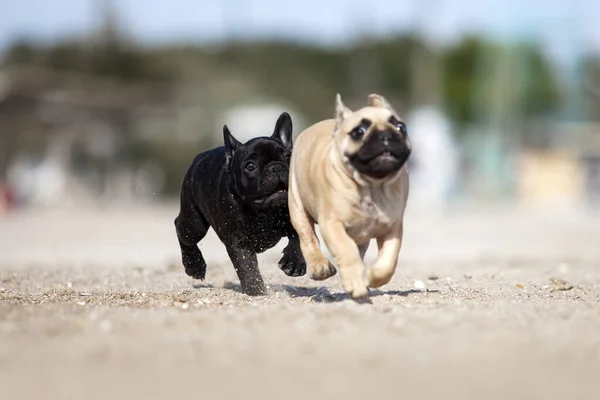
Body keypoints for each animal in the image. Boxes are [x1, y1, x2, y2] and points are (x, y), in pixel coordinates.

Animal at [172, 111, 304, 296]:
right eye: (250, 166)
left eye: (287, 157)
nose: (276, 167)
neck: (265, 211)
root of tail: (198, 158)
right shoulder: (238, 242)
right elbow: (247, 267)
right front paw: (257, 291)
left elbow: (298, 238)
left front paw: (295, 263)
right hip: (194, 225)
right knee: (181, 228)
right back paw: (194, 265)